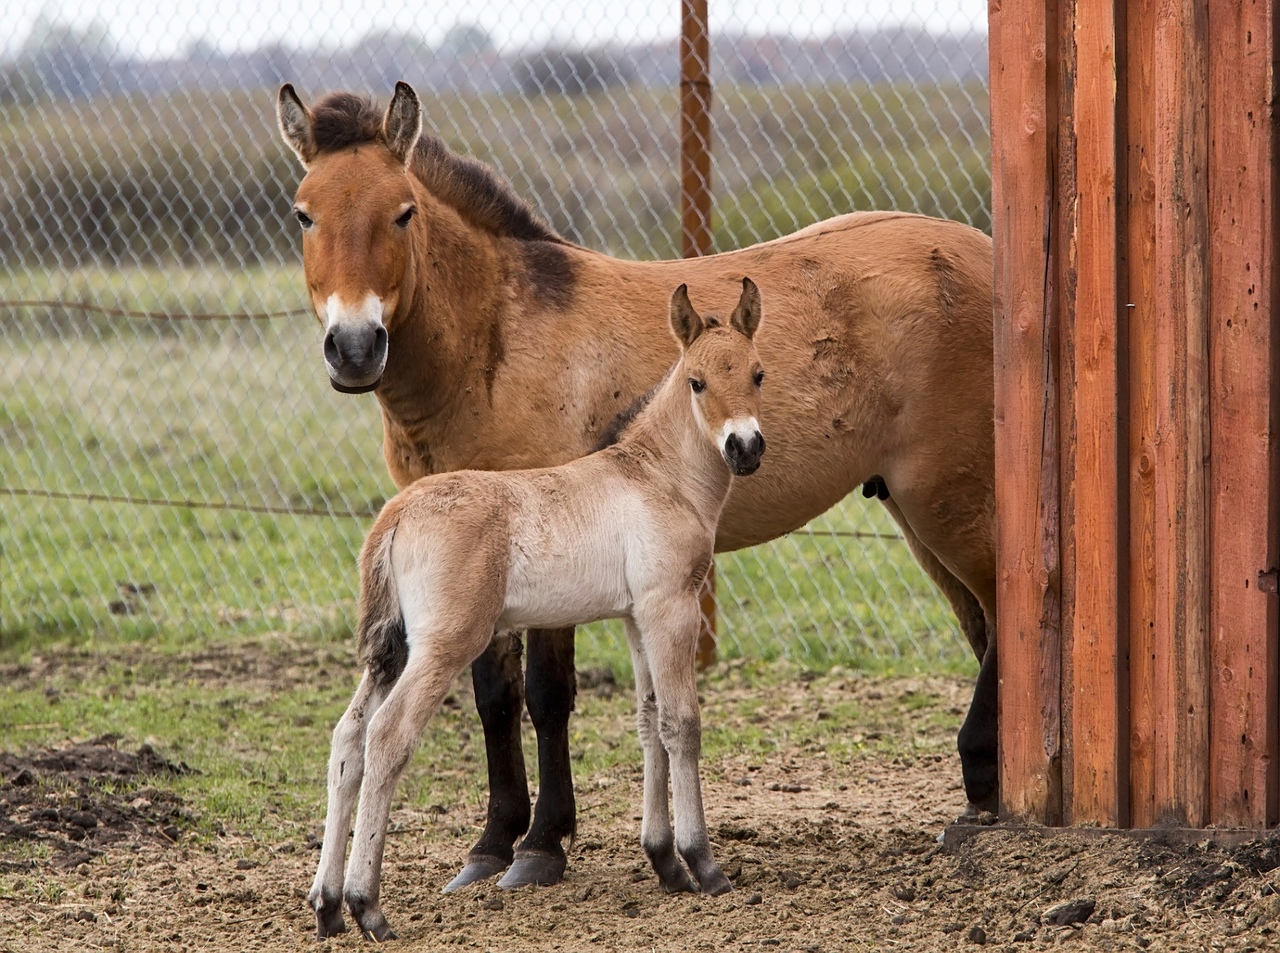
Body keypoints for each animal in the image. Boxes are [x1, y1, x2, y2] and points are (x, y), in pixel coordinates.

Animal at [309, 278, 762, 941]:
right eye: (697, 382)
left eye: (758, 374)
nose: (745, 448)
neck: (657, 478)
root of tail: (397, 511)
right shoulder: (670, 607)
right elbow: (683, 724)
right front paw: (703, 866)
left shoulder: (636, 618)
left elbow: (649, 720)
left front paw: (665, 864)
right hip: (445, 644)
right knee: (387, 736)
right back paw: (368, 905)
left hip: (393, 649)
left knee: (348, 737)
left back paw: (328, 906)